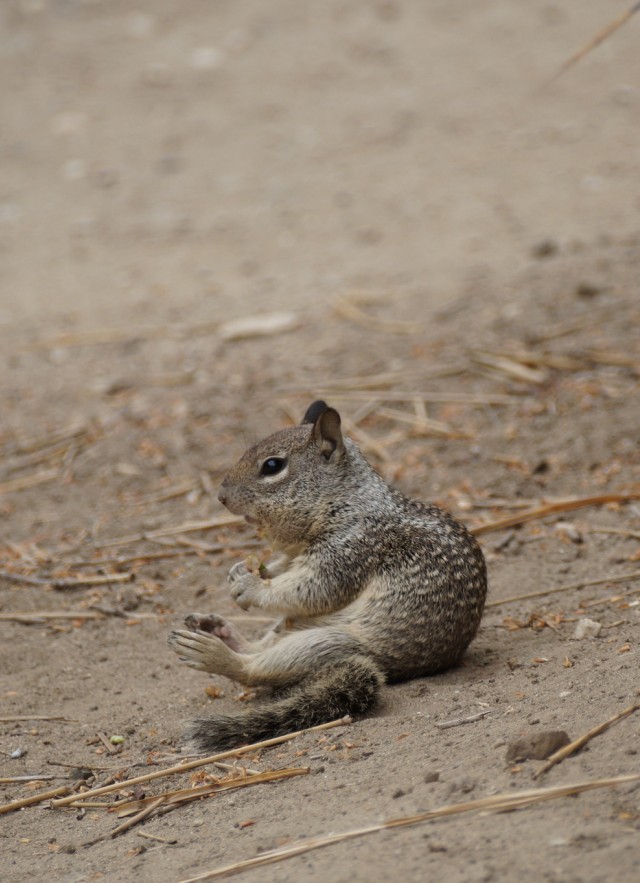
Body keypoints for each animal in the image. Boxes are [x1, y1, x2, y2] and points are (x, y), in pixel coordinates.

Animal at [168, 402, 488, 752]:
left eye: (272, 465)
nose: (221, 496)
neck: (346, 500)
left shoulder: (348, 551)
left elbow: (312, 589)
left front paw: (250, 585)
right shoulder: (299, 555)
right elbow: (283, 569)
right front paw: (245, 569)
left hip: (325, 644)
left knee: (255, 669)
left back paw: (212, 653)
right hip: (292, 628)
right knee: (257, 647)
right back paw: (219, 630)